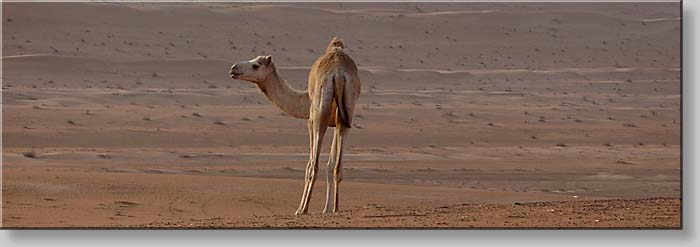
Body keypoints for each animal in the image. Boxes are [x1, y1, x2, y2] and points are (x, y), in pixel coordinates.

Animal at [230, 36, 360, 214]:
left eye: (255, 65)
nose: (233, 68)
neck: (304, 100)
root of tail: (339, 73)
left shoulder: (311, 120)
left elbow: (309, 165)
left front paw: (302, 208)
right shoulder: (337, 122)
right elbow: (331, 164)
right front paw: (328, 209)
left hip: (320, 113)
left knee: (314, 167)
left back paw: (303, 209)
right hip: (348, 110)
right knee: (337, 168)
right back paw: (335, 208)